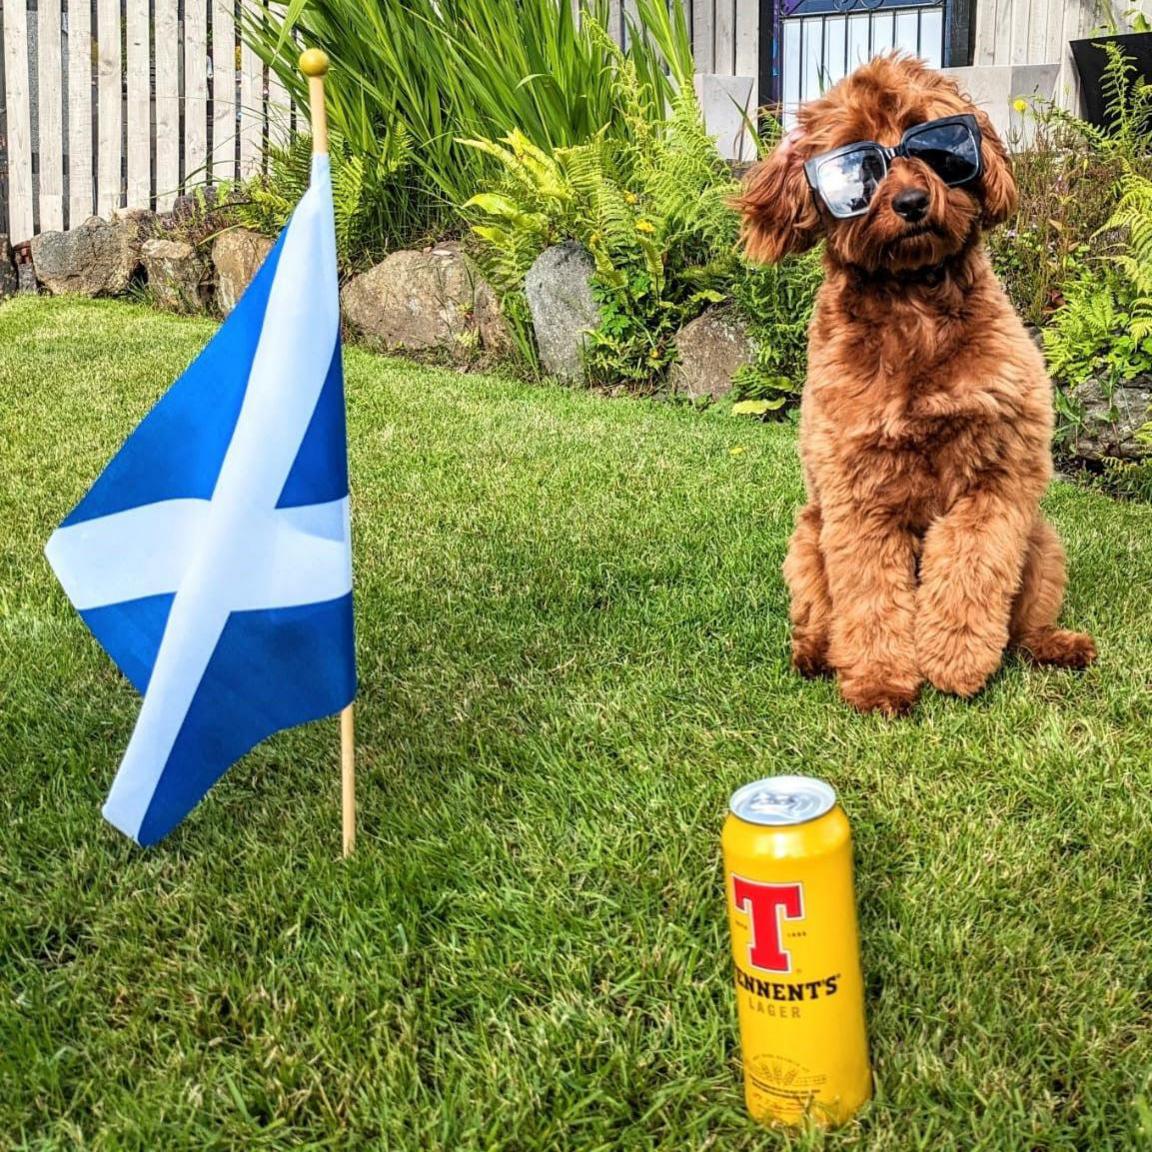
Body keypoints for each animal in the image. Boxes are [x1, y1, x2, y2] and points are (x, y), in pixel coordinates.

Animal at [737, 60, 1096, 718]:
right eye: (856, 163)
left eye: (936, 143)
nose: (910, 201)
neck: (914, 307)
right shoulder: (857, 495)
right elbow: (871, 595)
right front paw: (881, 681)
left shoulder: (999, 477)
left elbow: (972, 564)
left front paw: (955, 661)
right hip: (807, 540)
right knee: (820, 613)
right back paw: (815, 653)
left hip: (1042, 541)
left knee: (1027, 622)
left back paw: (1054, 644)